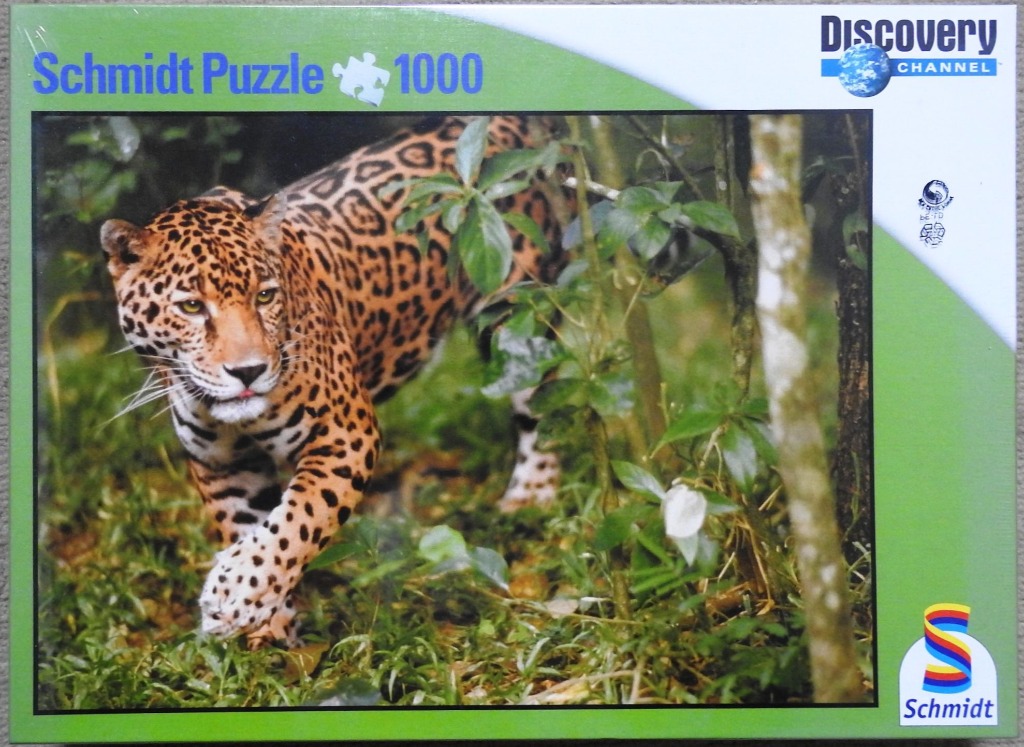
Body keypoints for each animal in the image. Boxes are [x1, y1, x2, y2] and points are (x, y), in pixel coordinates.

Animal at [100, 115, 567, 649]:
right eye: (192, 306)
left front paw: (234, 592)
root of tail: (523, 121)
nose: (248, 371)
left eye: (265, 297)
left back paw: (531, 496)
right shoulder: (223, 466)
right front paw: (267, 627)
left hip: (515, 316)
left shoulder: (346, 433)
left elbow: (298, 520)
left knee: (539, 400)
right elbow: (248, 528)